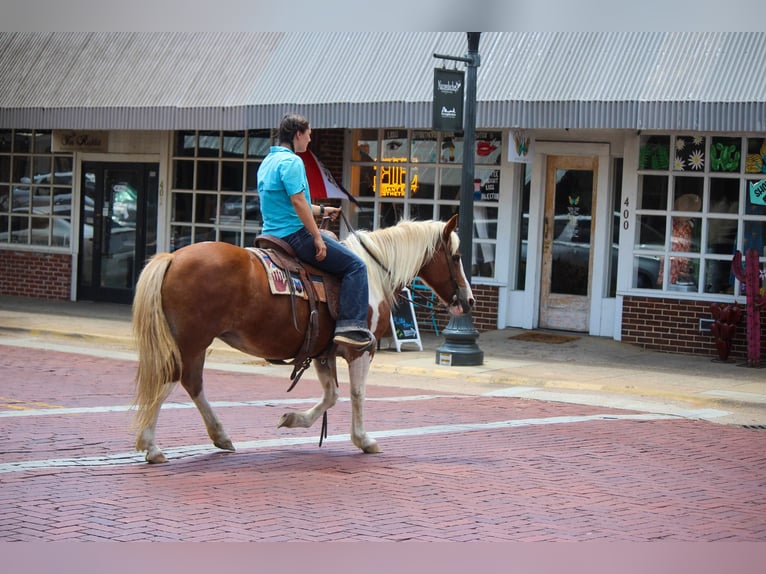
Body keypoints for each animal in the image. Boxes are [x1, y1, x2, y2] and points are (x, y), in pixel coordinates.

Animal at [134, 215, 476, 464]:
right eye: (457, 256)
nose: (469, 300)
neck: (373, 273)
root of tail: (172, 257)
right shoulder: (362, 349)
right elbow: (357, 394)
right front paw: (364, 440)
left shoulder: (323, 352)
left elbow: (331, 396)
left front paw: (292, 419)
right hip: (191, 342)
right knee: (172, 381)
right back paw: (152, 447)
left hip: (196, 344)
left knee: (192, 383)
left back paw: (220, 436)